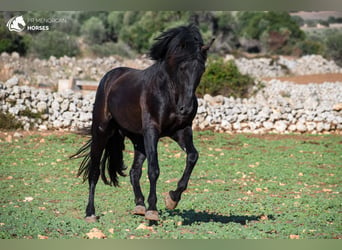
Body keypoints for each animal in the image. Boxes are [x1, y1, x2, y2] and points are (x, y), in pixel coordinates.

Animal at [73, 24, 214, 222]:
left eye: (201, 69)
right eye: (181, 68)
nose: (185, 108)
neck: (168, 92)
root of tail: (109, 78)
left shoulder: (181, 130)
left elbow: (192, 156)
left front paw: (172, 198)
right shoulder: (152, 131)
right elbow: (154, 169)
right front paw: (153, 210)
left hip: (138, 140)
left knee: (134, 171)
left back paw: (139, 205)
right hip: (102, 131)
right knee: (94, 171)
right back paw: (90, 213)